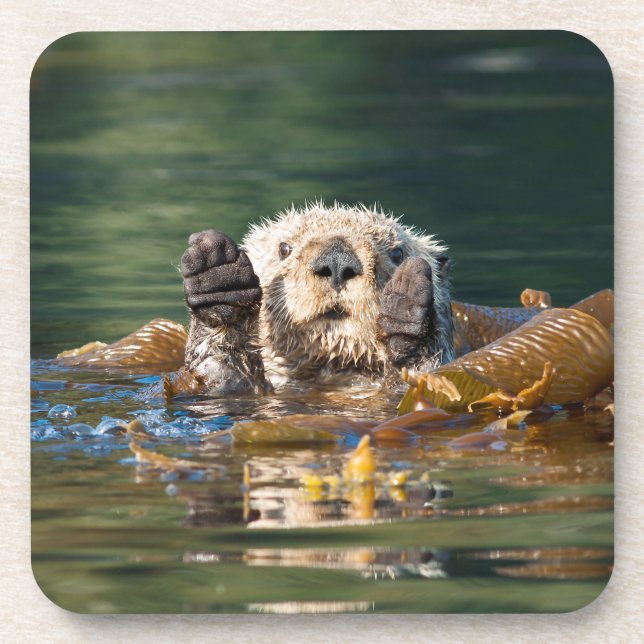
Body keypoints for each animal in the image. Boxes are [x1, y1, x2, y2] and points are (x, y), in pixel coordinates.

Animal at [181, 202, 455, 394]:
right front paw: (218, 276)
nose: (337, 261)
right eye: (284, 249)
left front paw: (405, 311)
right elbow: (220, 374)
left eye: (397, 254)